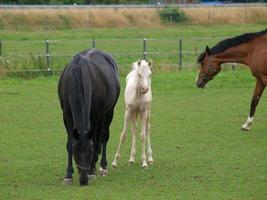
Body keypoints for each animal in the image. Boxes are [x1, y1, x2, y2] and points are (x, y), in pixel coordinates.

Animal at [59, 48, 121, 186]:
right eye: (76, 154)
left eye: (90, 152)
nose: (83, 180)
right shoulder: (66, 116)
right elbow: (69, 144)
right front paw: (68, 175)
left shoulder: (95, 115)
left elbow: (96, 142)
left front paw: (92, 171)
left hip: (109, 112)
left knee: (103, 136)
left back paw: (102, 167)